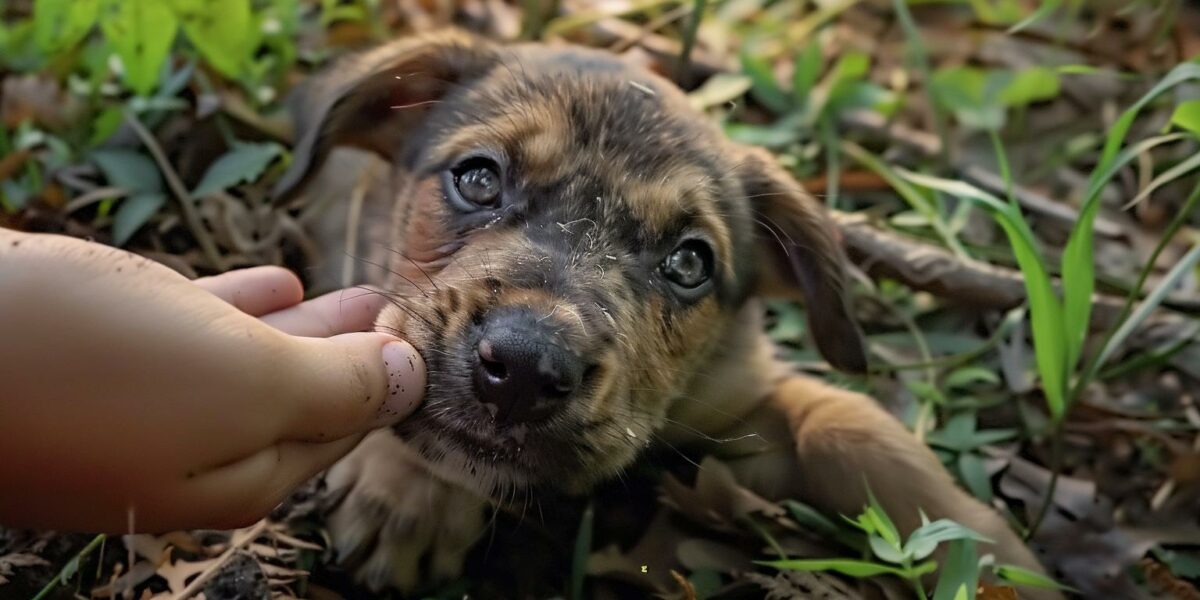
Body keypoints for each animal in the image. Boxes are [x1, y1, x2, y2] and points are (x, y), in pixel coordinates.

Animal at [274, 31, 1060, 595]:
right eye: (477, 178)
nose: (524, 370)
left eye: (688, 263)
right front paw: (409, 493)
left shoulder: (738, 399)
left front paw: (989, 551)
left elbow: (852, 426)